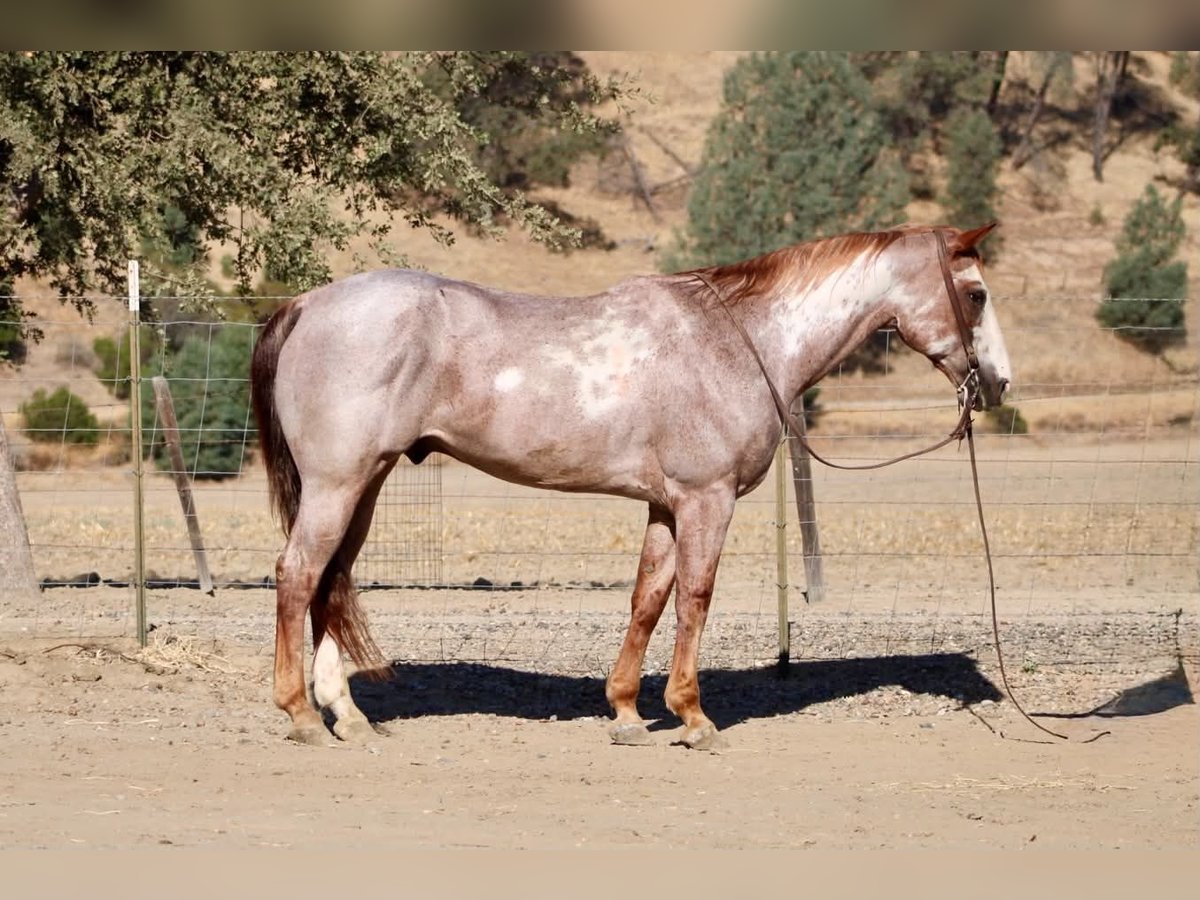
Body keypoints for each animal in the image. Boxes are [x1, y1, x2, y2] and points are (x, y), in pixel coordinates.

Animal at [250, 222, 1010, 749]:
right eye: (975, 295)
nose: (1000, 384)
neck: (738, 341)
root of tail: (306, 305)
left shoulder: (666, 506)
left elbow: (648, 599)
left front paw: (624, 711)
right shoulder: (706, 499)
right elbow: (695, 598)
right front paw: (692, 716)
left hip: (365, 484)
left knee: (332, 578)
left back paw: (348, 717)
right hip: (338, 484)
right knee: (299, 573)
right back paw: (301, 716)